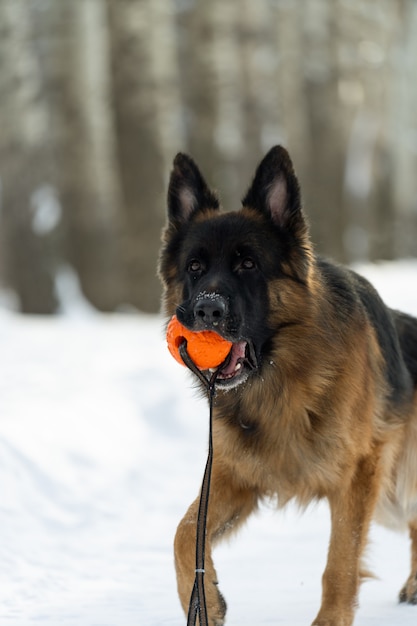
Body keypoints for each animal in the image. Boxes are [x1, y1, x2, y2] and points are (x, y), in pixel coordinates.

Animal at [158, 146, 416, 624]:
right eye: (195, 267)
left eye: (248, 264)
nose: (206, 311)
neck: (280, 380)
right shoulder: (237, 474)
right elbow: (185, 533)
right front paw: (203, 600)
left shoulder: (357, 474)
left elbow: (340, 563)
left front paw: (331, 620)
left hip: (395, 484)